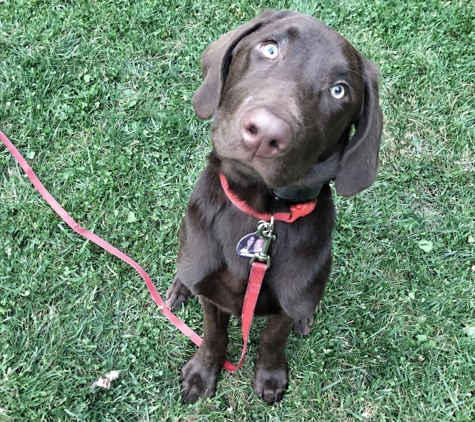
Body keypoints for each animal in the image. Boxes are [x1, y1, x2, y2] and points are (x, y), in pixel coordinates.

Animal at [165, 9, 384, 406]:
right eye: (269, 48)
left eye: (339, 90)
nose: (266, 133)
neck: (257, 213)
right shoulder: (212, 295)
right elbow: (214, 334)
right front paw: (202, 373)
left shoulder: (286, 302)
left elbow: (271, 338)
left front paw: (270, 377)